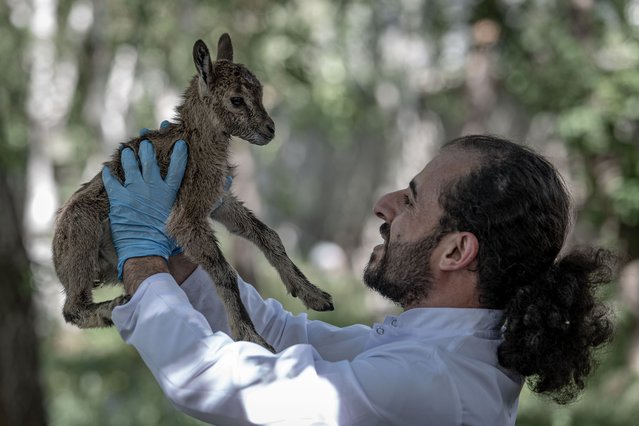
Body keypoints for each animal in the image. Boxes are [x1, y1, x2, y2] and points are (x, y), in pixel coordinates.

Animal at [53, 35, 336, 352]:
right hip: (82, 235)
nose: (270, 129)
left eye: (261, 92)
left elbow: (268, 235)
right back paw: (116, 306)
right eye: (236, 99)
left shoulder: (218, 201)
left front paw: (314, 295)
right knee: (71, 309)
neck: (197, 144)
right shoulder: (187, 217)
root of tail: (55, 257)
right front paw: (251, 337)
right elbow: (225, 271)